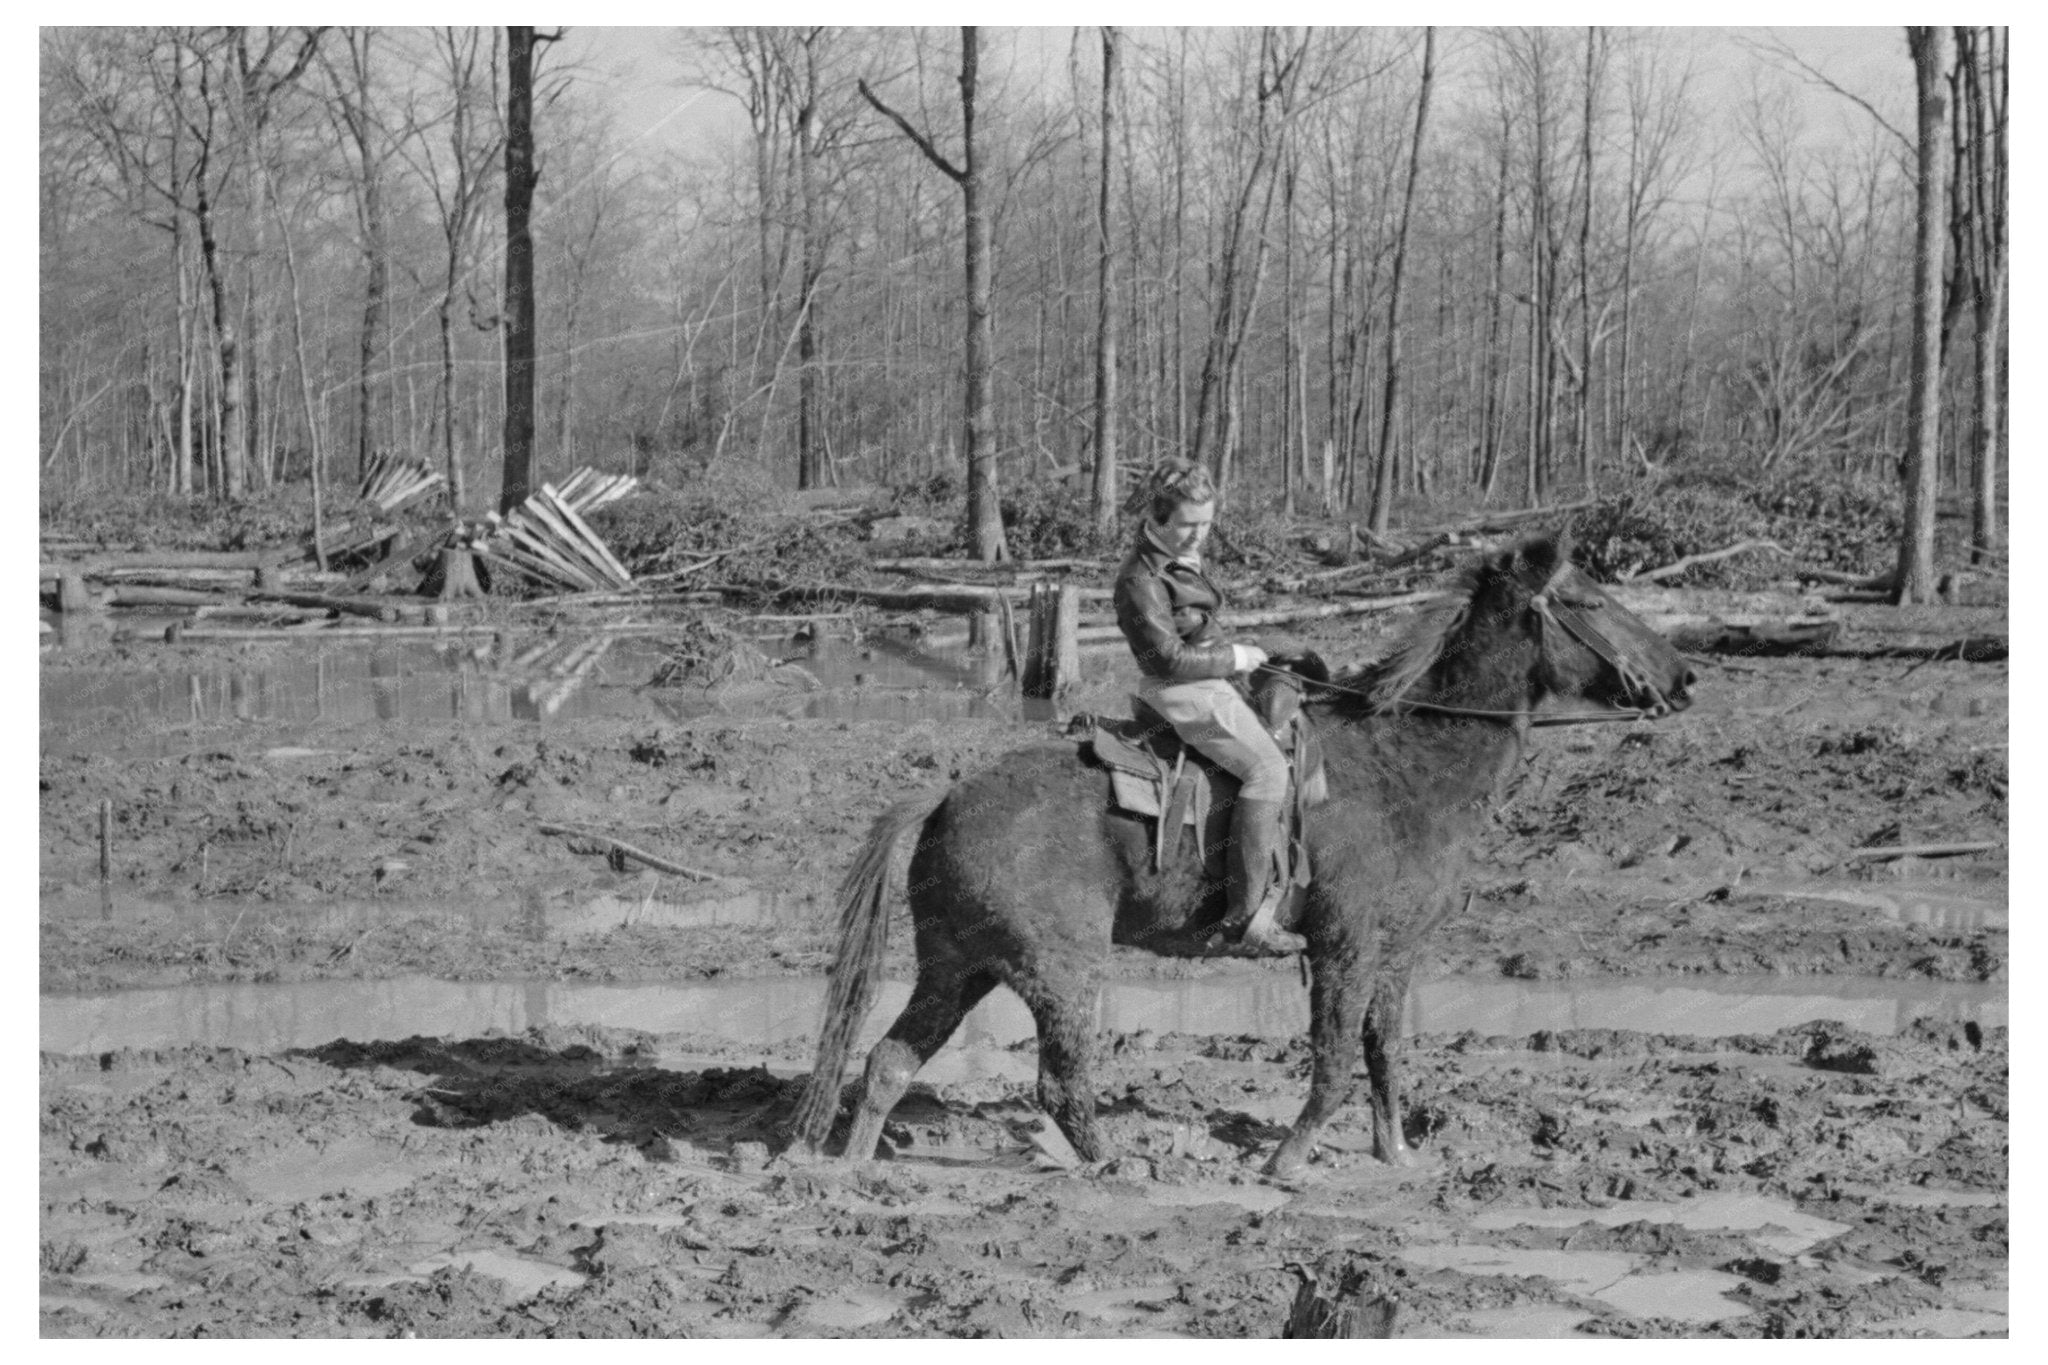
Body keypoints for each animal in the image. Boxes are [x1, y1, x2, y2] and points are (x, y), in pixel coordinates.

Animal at [782, 532, 1695, 1178]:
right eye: (1589, 597)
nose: (1683, 678)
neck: (1408, 761)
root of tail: (946, 796)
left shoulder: (1395, 954)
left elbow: (1384, 1052)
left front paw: (1395, 1151)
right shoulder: (1344, 947)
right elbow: (1334, 1060)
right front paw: (1286, 1160)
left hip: (958, 966)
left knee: (889, 1060)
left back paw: (852, 1169)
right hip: (1059, 968)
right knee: (1061, 1081)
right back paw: (1120, 1167)